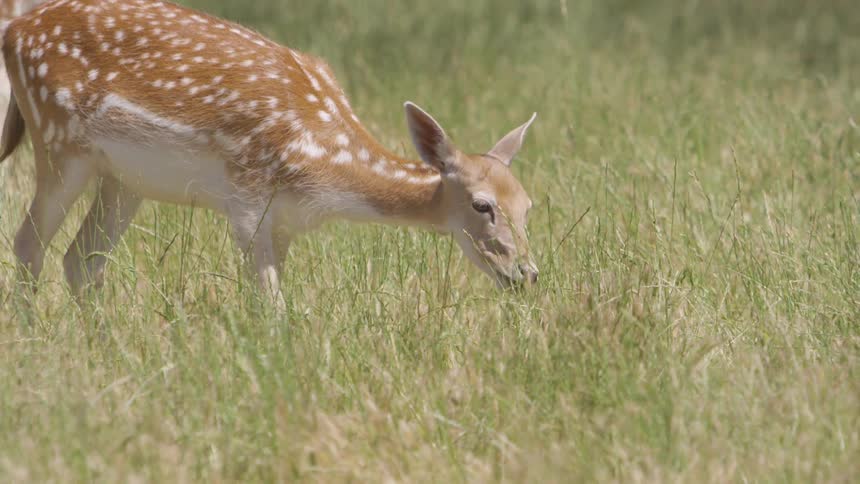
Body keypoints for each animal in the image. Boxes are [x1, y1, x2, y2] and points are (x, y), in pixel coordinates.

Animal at [1, 0, 539, 308]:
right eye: (482, 205)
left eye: (528, 206)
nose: (528, 275)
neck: (324, 164)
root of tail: (13, 32)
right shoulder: (247, 200)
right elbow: (271, 307)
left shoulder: (286, 221)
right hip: (58, 141)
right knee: (29, 243)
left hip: (125, 179)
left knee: (81, 260)